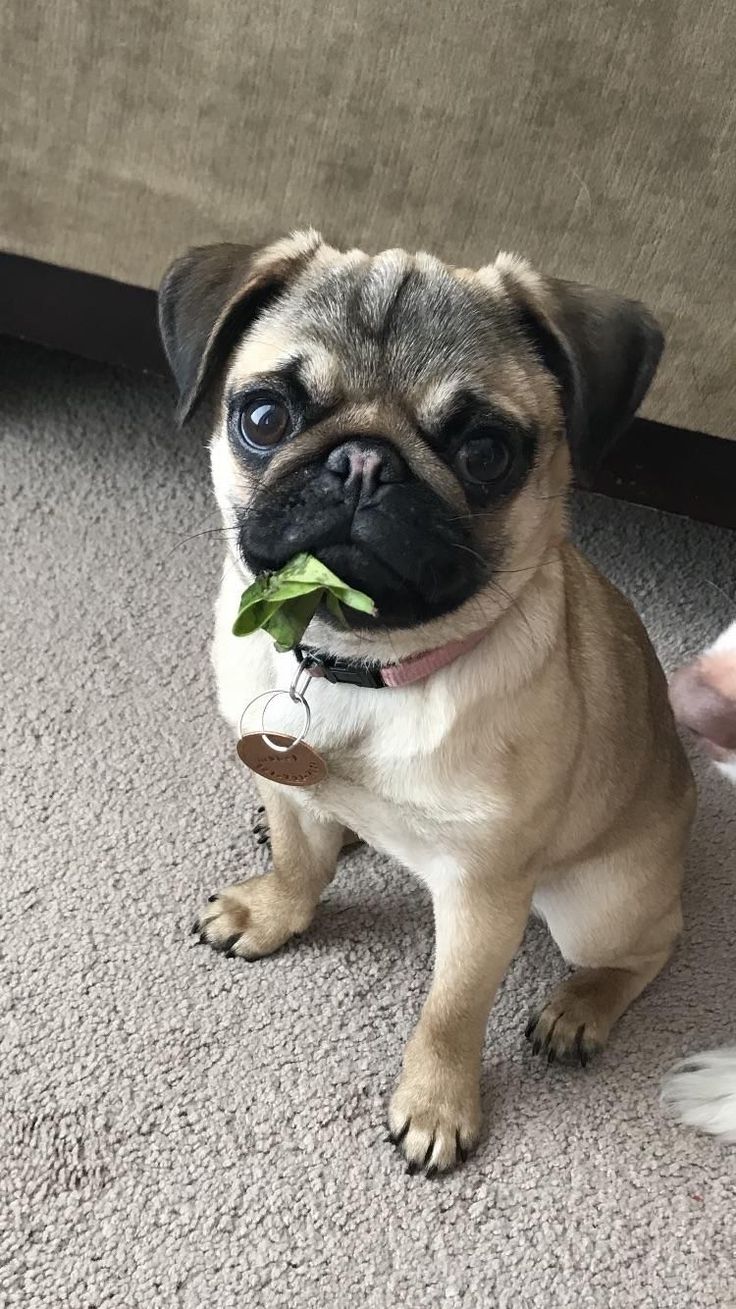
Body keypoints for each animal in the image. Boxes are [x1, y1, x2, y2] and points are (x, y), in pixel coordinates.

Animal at [157, 233, 691, 1178]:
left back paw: (581, 1006)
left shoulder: (482, 895)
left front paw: (437, 1104)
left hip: (601, 905)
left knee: (651, 943)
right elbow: (297, 862)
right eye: (264, 417)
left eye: (485, 452)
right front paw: (275, 910)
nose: (362, 460)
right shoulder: (285, 779)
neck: (359, 667)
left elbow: (451, 1011)